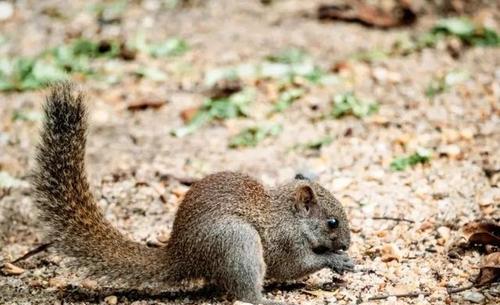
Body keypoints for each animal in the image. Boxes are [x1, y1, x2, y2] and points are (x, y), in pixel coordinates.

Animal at [33, 82, 354, 302]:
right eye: (332, 222)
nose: (347, 244)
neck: (289, 215)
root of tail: (181, 255)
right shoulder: (284, 242)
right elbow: (295, 265)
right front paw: (335, 260)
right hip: (237, 243)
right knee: (243, 292)